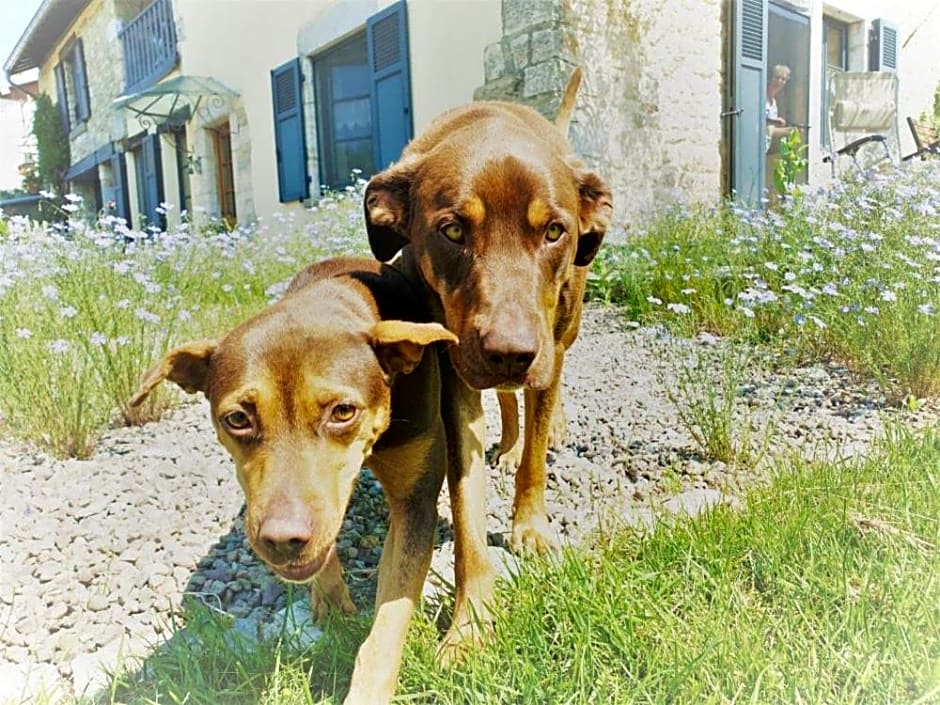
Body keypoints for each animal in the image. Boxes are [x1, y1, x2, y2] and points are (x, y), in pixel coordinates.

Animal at [129, 258, 456, 704]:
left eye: (343, 411)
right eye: (237, 418)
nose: (282, 540)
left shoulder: (416, 501)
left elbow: (388, 621)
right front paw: (331, 601)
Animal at [364, 69, 612, 652]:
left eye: (554, 231)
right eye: (453, 230)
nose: (511, 352)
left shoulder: (547, 348)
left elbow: (536, 457)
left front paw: (530, 526)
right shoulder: (456, 379)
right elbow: (466, 510)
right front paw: (470, 623)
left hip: (562, 334)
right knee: (504, 398)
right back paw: (507, 439)